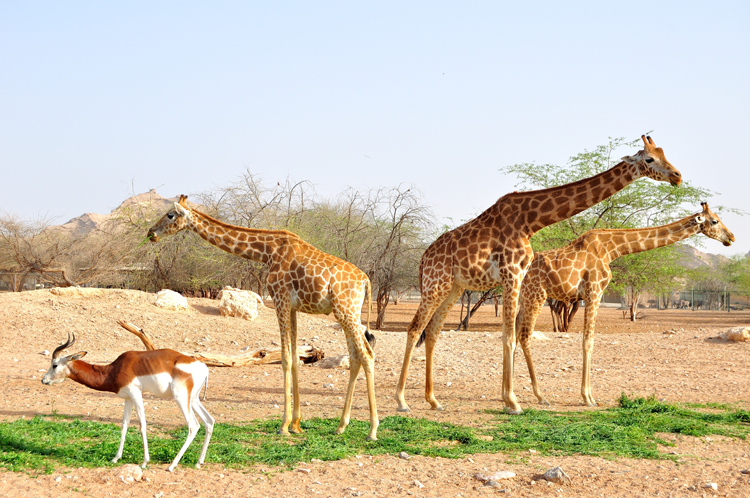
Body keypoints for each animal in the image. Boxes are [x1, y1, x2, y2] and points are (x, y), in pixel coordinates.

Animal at [41, 334, 214, 470]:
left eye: (54, 365)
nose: (44, 380)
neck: (114, 370)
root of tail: (203, 367)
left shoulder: (136, 394)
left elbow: (142, 425)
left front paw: (144, 462)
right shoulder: (128, 398)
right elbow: (124, 425)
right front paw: (115, 458)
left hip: (180, 398)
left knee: (193, 426)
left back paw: (172, 465)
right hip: (193, 399)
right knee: (209, 421)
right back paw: (198, 462)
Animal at [148, 195, 382, 440]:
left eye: (170, 215)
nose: (151, 232)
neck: (266, 252)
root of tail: (366, 280)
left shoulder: (280, 299)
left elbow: (286, 359)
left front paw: (284, 425)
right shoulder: (292, 306)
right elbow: (295, 358)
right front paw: (296, 423)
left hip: (346, 311)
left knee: (367, 354)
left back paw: (373, 429)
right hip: (347, 313)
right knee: (355, 357)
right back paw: (341, 425)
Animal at [396, 134, 684, 414]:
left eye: (664, 153)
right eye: (649, 159)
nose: (677, 175)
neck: (530, 222)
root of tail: (423, 259)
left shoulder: (518, 276)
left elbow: (510, 335)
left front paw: (510, 398)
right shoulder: (511, 274)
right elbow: (510, 337)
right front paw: (513, 403)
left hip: (453, 288)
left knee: (432, 331)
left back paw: (433, 400)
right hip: (435, 284)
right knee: (414, 328)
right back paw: (401, 400)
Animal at [516, 200, 736, 406]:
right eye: (714, 221)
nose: (731, 238)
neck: (612, 249)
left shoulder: (592, 294)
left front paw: (589, 395)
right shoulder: (594, 292)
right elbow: (588, 342)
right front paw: (588, 397)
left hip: (522, 298)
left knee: (514, 334)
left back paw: (512, 395)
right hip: (536, 295)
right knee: (525, 336)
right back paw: (540, 396)